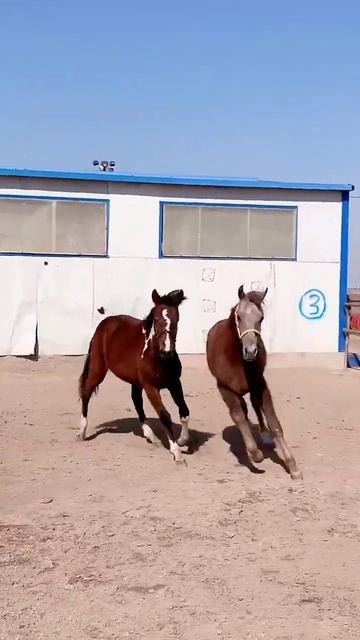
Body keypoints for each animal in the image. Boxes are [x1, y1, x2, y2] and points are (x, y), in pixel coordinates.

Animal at [77, 288, 190, 462]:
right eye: (156, 319)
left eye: (176, 319)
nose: (167, 351)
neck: (158, 358)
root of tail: (104, 323)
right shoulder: (151, 387)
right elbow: (165, 416)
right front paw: (177, 453)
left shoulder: (174, 383)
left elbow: (184, 411)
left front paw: (183, 440)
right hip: (98, 370)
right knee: (86, 392)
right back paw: (81, 431)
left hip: (135, 381)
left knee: (136, 401)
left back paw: (152, 437)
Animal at [205, 286, 300, 480]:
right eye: (239, 316)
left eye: (261, 317)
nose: (250, 351)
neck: (235, 359)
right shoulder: (225, 389)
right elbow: (239, 417)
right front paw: (255, 455)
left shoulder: (260, 385)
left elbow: (274, 423)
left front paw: (292, 466)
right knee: (243, 410)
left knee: (255, 406)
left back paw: (264, 435)